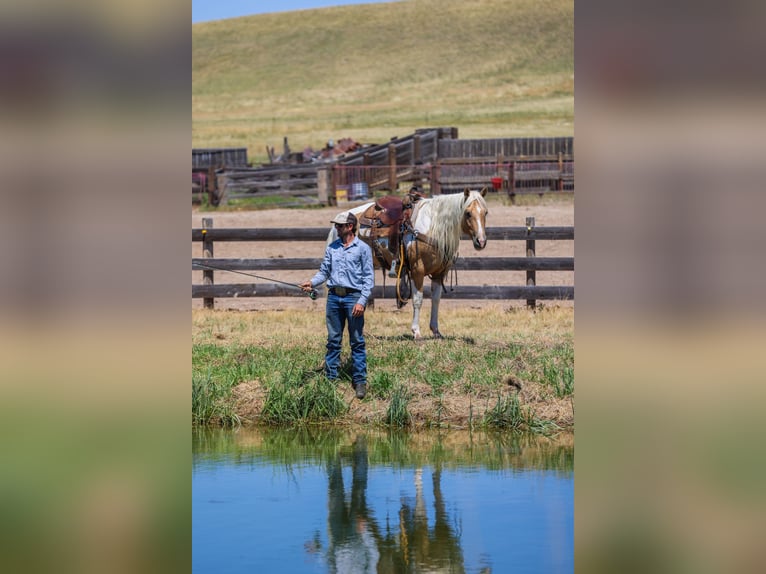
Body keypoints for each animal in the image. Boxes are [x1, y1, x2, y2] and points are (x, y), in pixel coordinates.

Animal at [330, 188, 489, 339]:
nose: (481, 242)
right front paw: (416, 332)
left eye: (485, 213)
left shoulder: (439, 273)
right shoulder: (417, 270)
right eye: (468, 213)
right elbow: (418, 299)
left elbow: (436, 299)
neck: (432, 227)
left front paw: (436, 331)